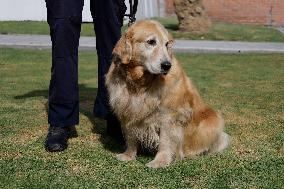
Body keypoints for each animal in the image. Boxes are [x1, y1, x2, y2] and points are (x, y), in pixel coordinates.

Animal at [105, 20, 230, 168]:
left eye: (166, 44)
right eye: (151, 42)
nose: (166, 65)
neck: (141, 82)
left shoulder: (170, 116)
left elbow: (165, 141)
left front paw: (160, 161)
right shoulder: (127, 110)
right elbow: (130, 136)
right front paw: (128, 155)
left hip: (213, 119)